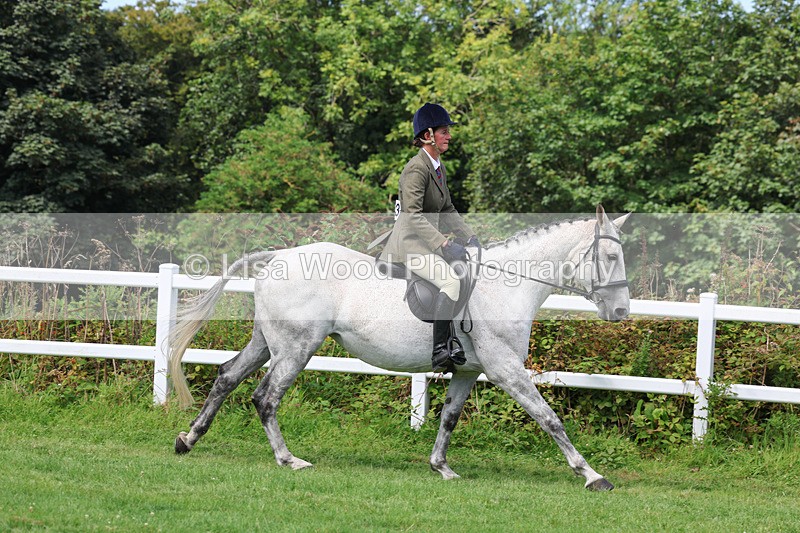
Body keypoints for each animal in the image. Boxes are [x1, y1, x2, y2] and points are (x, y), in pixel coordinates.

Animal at [169, 205, 631, 491]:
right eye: (609, 257)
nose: (622, 311)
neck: (506, 285)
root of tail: (278, 257)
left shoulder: (469, 370)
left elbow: (449, 418)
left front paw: (441, 467)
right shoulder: (505, 370)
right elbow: (549, 419)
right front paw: (591, 475)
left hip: (268, 343)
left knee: (227, 377)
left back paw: (188, 440)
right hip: (296, 348)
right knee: (266, 397)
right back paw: (288, 460)